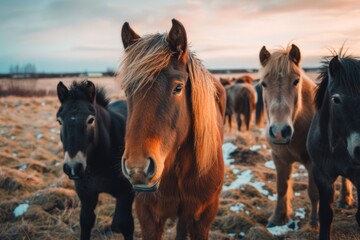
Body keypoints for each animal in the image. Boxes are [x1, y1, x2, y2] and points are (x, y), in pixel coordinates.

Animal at [55, 80, 134, 240]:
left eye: (90, 120)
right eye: (59, 121)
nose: (73, 167)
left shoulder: (127, 193)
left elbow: (126, 224)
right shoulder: (86, 193)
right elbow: (86, 221)